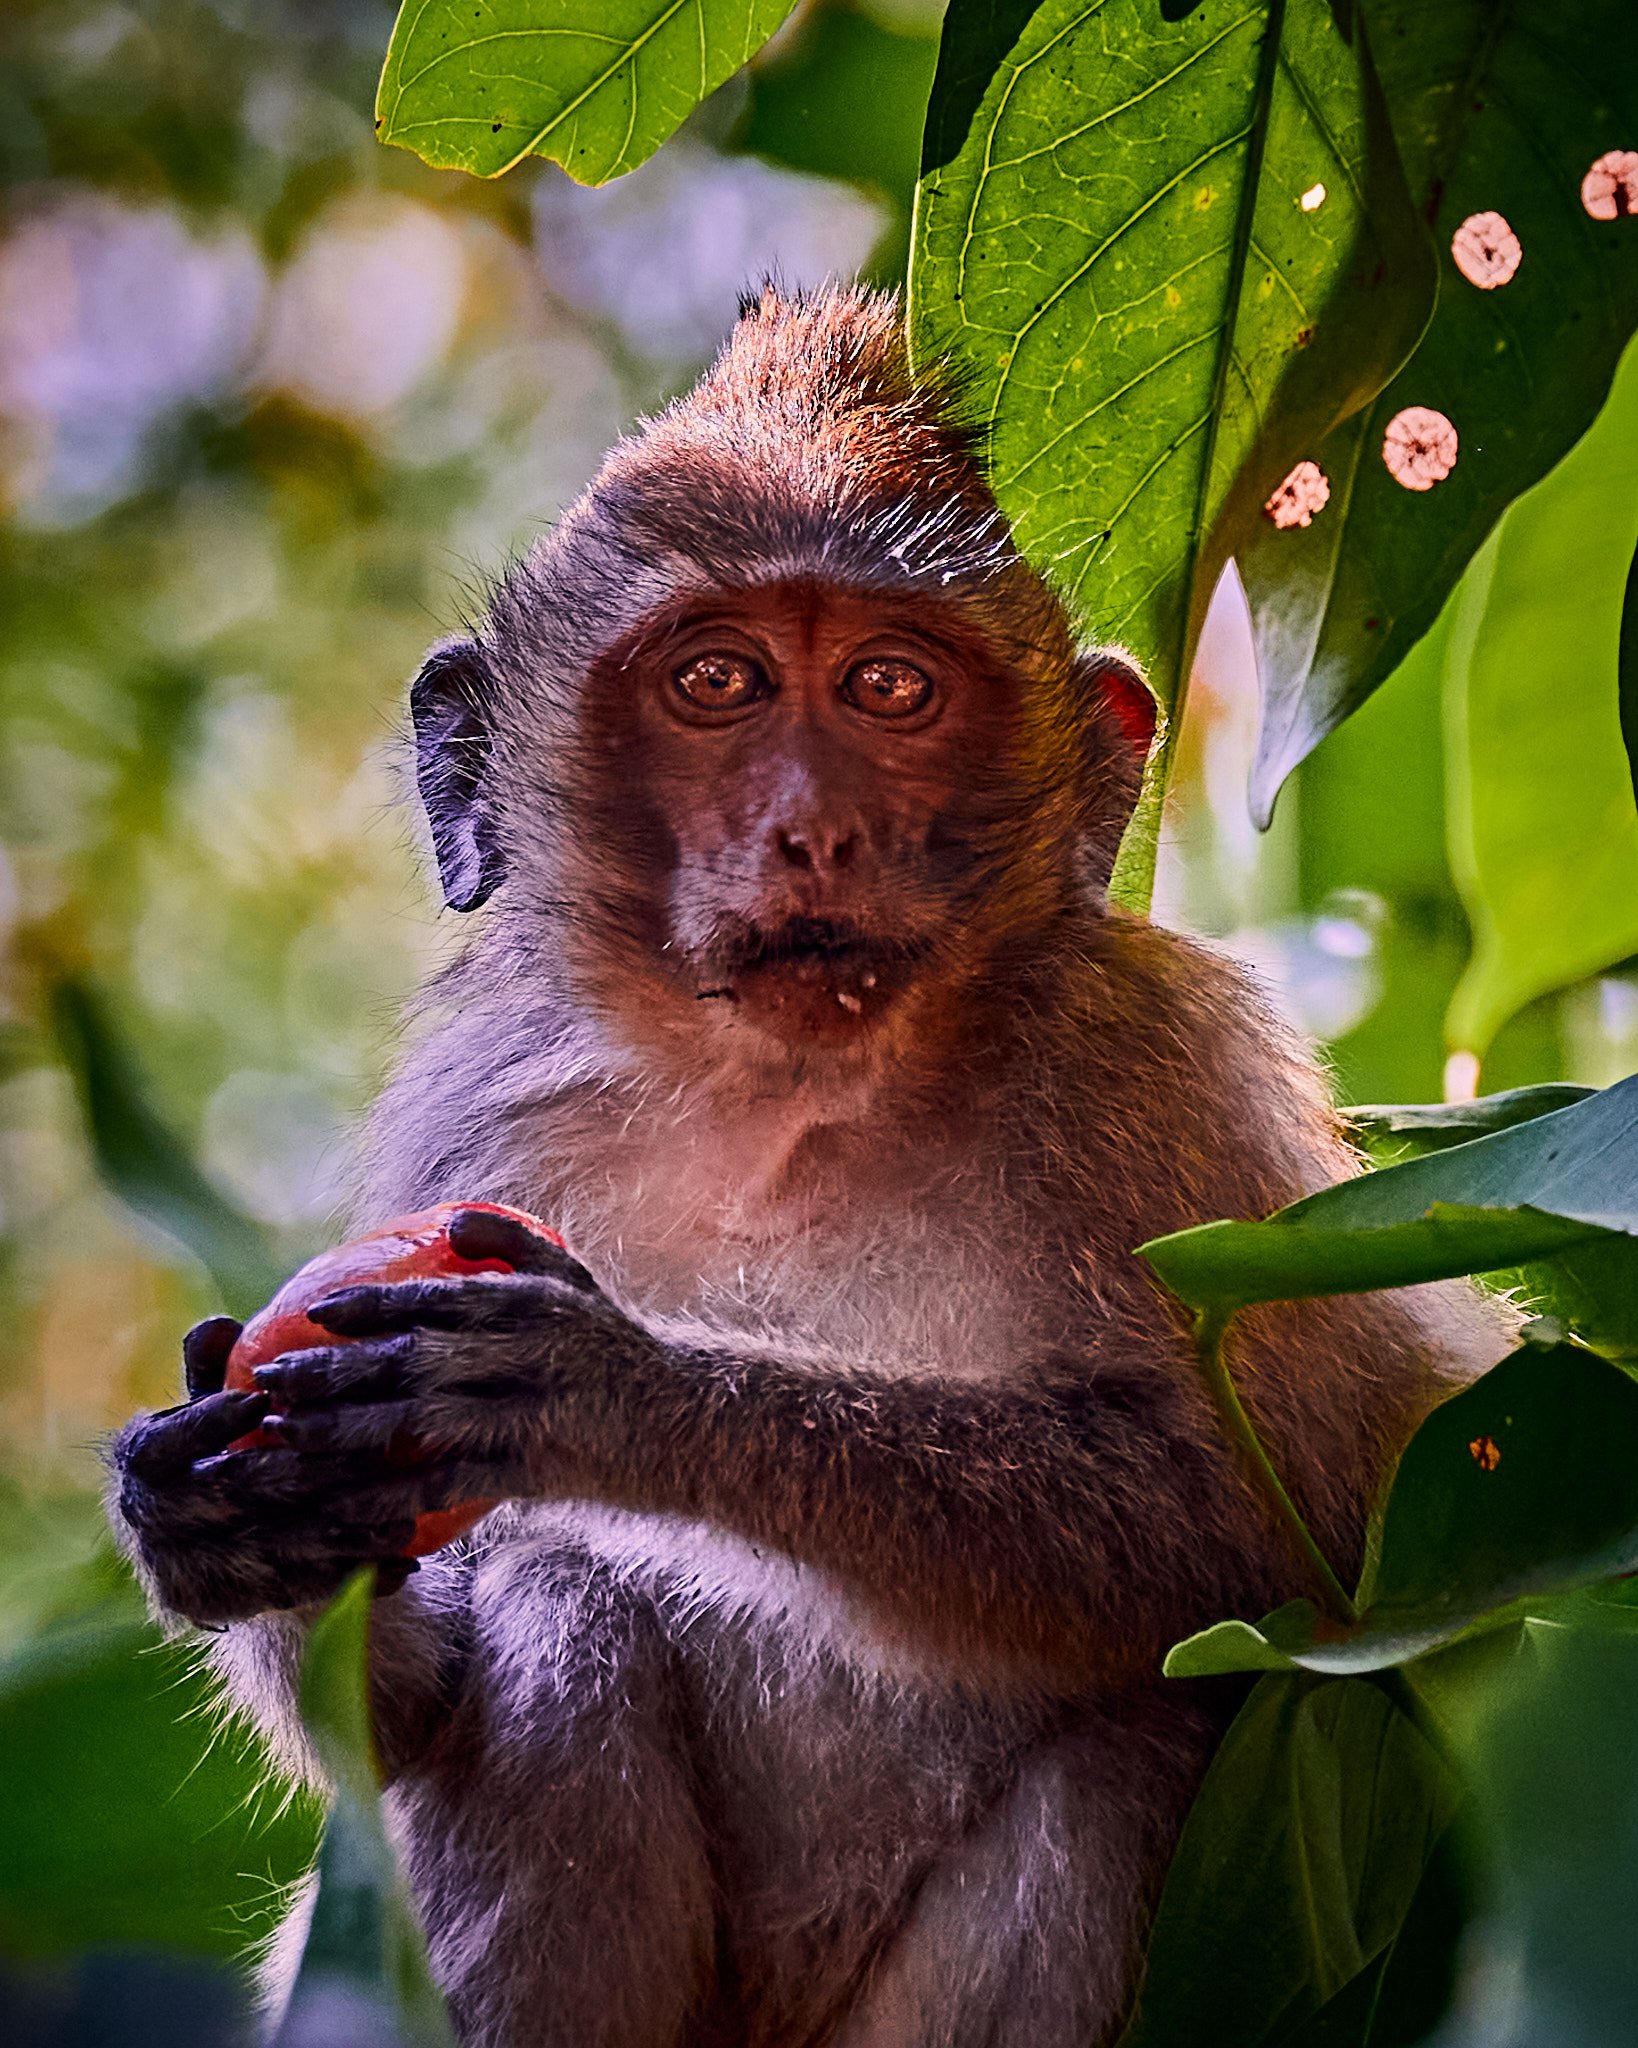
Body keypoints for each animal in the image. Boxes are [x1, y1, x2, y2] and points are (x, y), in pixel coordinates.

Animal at [108, 284, 1506, 2048]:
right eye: (717, 681)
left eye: (890, 689)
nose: (812, 830)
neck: (788, 1099)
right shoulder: (477, 1115)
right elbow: (403, 1706)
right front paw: (221, 1509)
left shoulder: (1165, 1084)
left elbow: (1284, 1537)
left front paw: (625, 1398)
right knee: (556, 1621)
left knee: (1141, 1742)